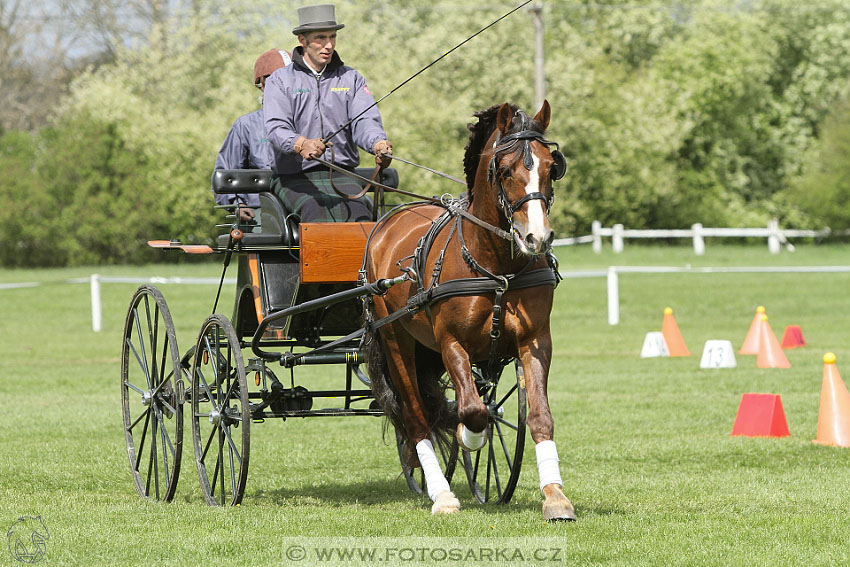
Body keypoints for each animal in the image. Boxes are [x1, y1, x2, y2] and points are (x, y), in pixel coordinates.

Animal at [362, 101, 572, 520]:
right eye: (505, 170)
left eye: (550, 165)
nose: (537, 238)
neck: (498, 269)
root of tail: (390, 219)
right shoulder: (451, 343)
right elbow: (473, 410)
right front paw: (468, 437)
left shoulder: (535, 340)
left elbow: (539, 416)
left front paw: (555, 495)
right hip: (396, 340)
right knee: (416, 416)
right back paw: (441, 493)